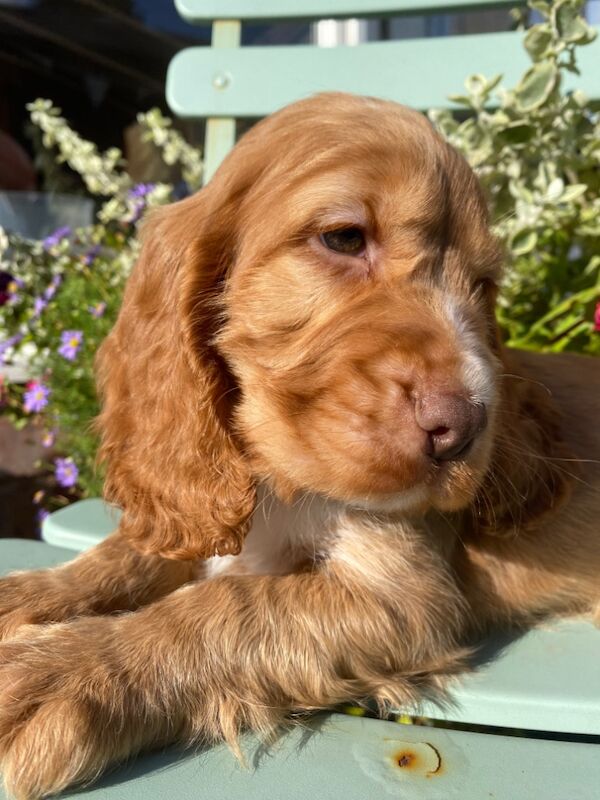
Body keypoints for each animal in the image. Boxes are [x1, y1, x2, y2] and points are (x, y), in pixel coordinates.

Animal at [1, 95, 600, 800]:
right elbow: (123, 555)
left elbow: (223, 607)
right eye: (343, 238)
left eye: (482, 285)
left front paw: (60, 671)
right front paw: (30, 596)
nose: (464, 426)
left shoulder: (402, 595)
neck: (274, 480)